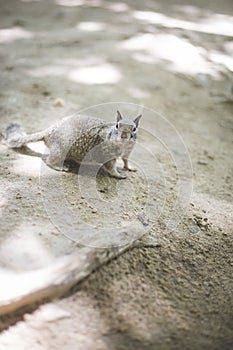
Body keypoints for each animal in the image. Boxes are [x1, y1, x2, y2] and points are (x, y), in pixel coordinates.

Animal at [5, 110, 142, 179]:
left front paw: (129, 167)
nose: (124, 136)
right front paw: (119, 174)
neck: (122, 146)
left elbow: (125, 160)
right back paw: (60, 167)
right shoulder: (107, 155)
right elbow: (111, 168)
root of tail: (49, 131)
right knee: (48, 160)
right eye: (117, 125)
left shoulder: (128, 152)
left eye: (134, 129)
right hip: (61, 149)